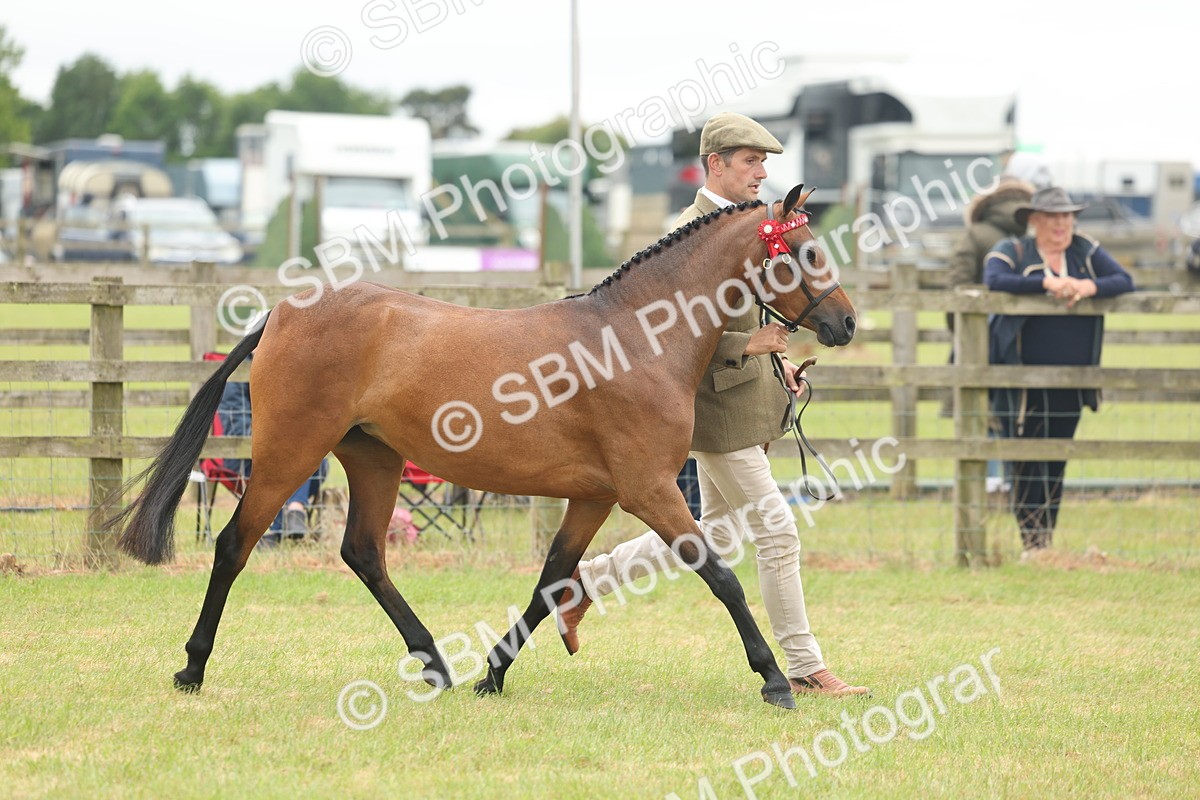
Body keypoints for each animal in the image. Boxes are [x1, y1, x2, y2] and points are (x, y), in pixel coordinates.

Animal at [107, 184, 856, 710]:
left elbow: (551, 579)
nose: (846, 323)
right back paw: (192, 666)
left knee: (364, 553)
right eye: (807, 251)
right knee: (234, 545)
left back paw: (436, 665)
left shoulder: (595, 495)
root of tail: (286, 312)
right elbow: (720, 574)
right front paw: (774, 679)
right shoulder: (648, 489)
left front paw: (492, 675)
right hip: (288, 455)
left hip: (373, 459)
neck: (636, 338)